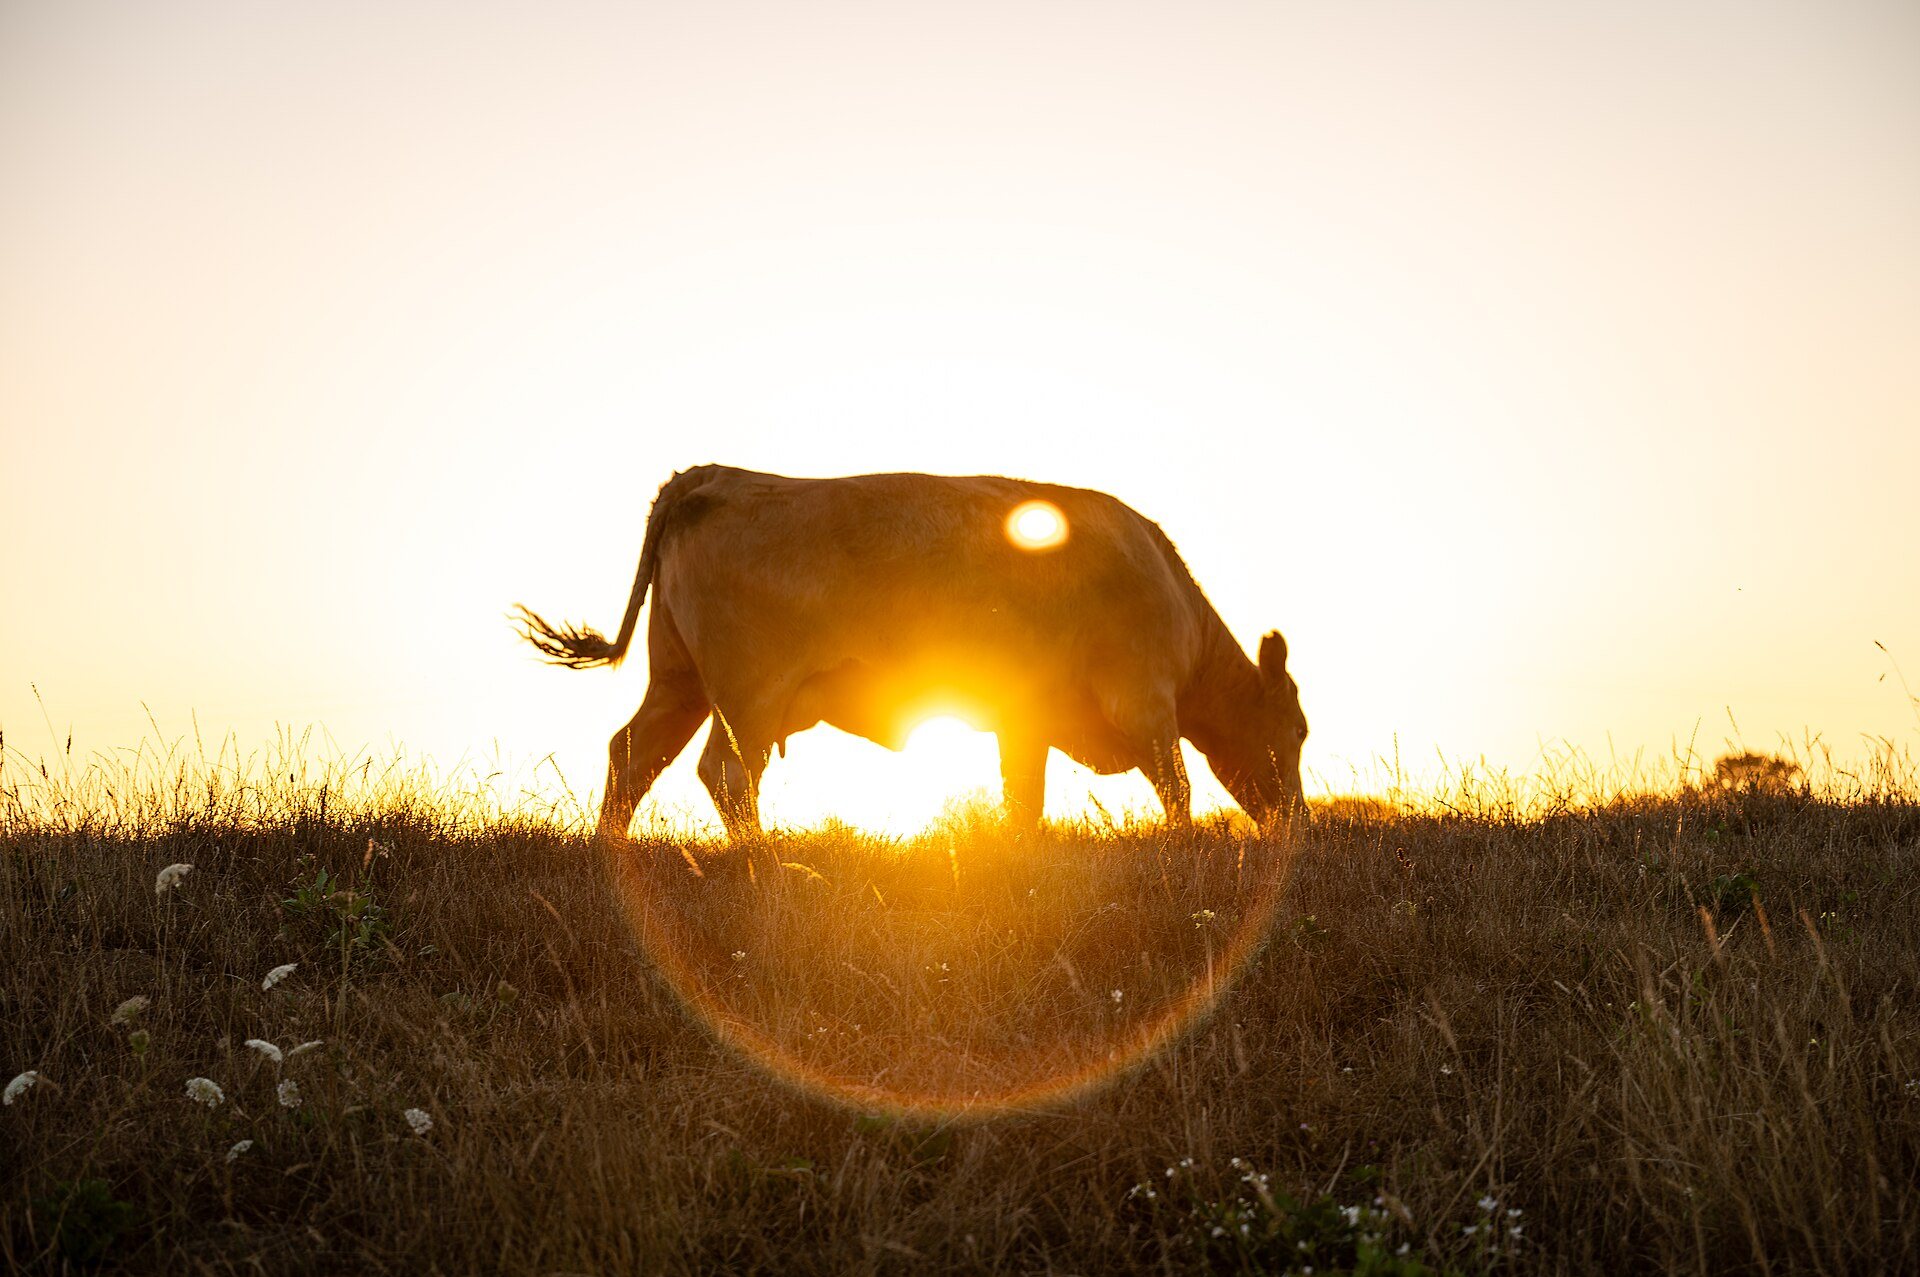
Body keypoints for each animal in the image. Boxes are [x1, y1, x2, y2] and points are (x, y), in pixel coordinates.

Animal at [515, 465, 1307, 842]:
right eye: (1296, 732)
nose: (1298, 819)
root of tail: (714, 474)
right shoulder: (1143, 697)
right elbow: (1177, 782)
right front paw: (1184, 845)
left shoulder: (1026, 719)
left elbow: (1024, 798)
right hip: (752, 692)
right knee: (727, 773)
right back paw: (762, 859)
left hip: (680, 680)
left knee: (632, 752)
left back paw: (609, 850)